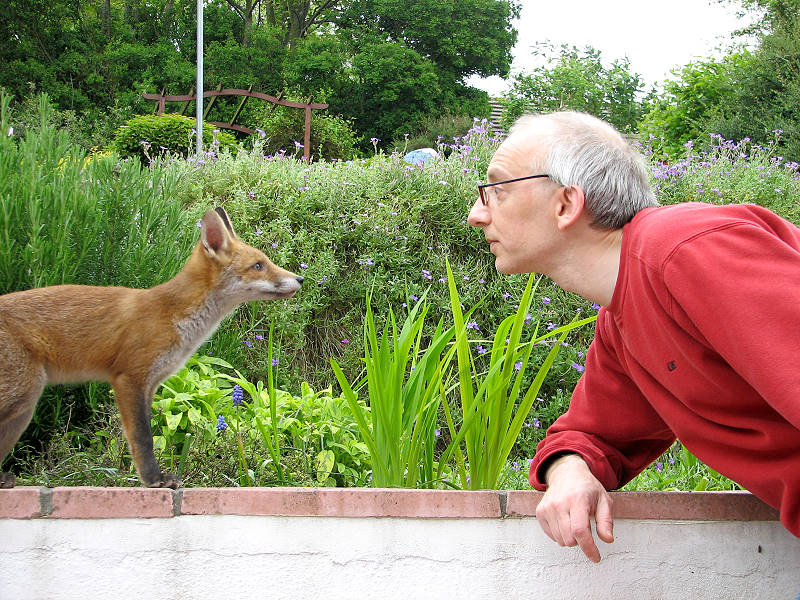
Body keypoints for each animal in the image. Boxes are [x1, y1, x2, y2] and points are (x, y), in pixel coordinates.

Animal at [0, 206, 303, 489]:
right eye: (258, 265)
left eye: (265, 261)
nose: (300, 279)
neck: (174, 315)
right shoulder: (129, 378)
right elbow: (143, 439)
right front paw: (154, 480)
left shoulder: (150, 385)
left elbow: (145, 435)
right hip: (22, 394)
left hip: (22, 410)